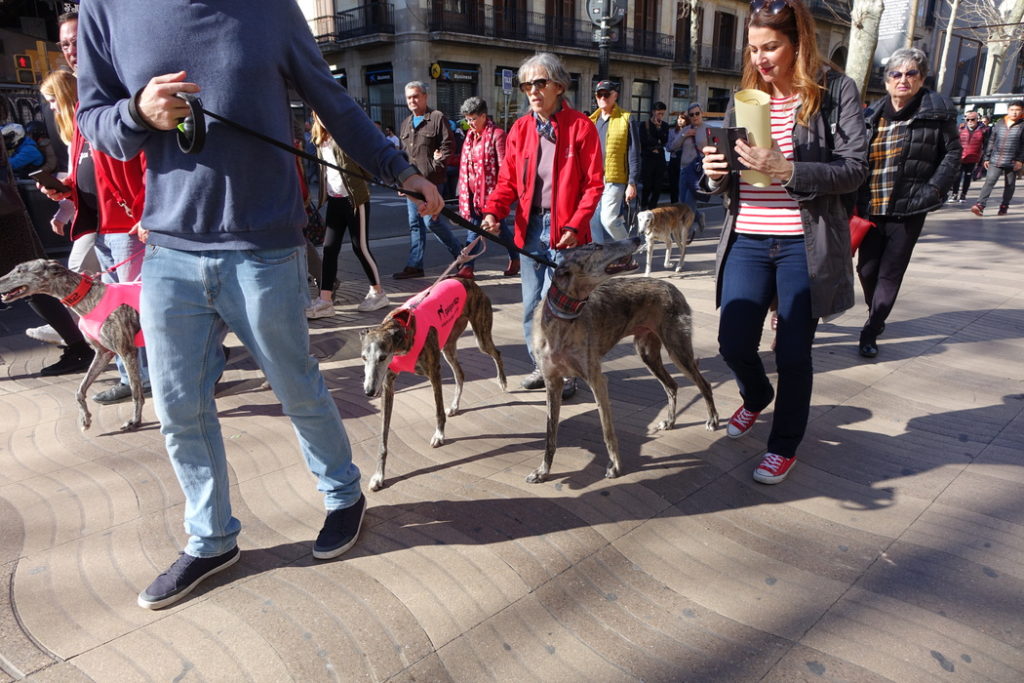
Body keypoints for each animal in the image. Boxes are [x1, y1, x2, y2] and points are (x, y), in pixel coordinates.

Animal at [0, 259, 145, 432]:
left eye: (20, 271)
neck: (90, 297)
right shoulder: (103, 353)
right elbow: (80, 390)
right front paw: (85, 419)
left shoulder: (127, 352)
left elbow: (136, 392)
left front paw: (135, 421)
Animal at [360, 277, 506, 491]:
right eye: (363, 358)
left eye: (382, 357)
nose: (369, 392)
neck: (402, 333)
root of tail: (466, 279)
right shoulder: (388, 385)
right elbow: (383, 437)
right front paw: (378, 476)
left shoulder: (433, 372)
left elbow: (438, 411)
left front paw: (439, 435)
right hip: (448, 345)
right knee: (460, 374)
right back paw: (454, 406)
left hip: (481, 336)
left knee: (496, 353)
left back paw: (502, 380)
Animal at [528, 236, 718, 483]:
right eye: (595, 246)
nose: (637, 238)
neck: (563, 317)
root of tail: (670, 286)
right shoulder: (553, 383)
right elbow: (550, 435)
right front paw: (543, 471)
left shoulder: (597, 380)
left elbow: (607, 430)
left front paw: (615, 467)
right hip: (648, 353)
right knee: (672, 385)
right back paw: (670, 421)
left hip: (678, 350)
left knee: (704, 384)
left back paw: (713, 420)